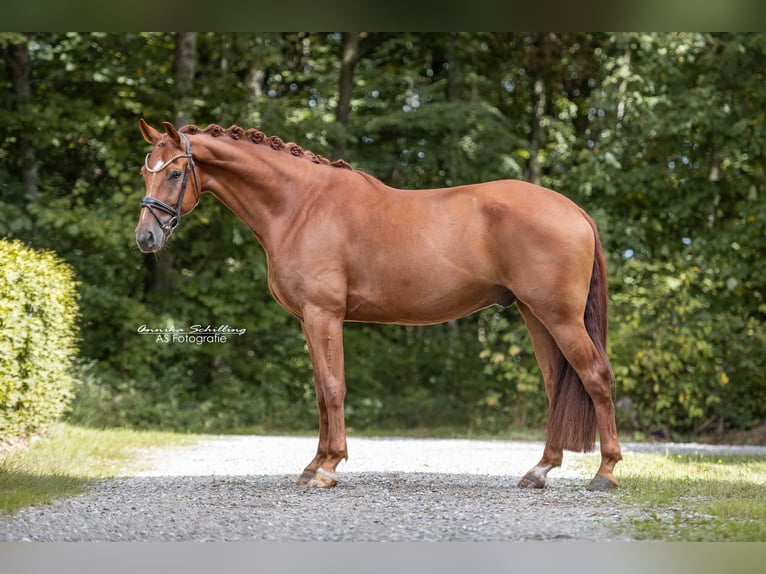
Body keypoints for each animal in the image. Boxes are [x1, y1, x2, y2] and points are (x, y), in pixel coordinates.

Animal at [134, 119, 622, 491]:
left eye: (175, 174)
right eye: (145, 172)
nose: (146, 237)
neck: (300, 205)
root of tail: (575, 211)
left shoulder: (324, 315)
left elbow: (334, 388)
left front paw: (328, 468)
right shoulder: (309, 320)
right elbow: (321, 391)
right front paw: (314, 464)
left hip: (559, 317)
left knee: (596, 376)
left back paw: (605, 473)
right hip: (535, 314)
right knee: (556, 386)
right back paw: (540, 470)